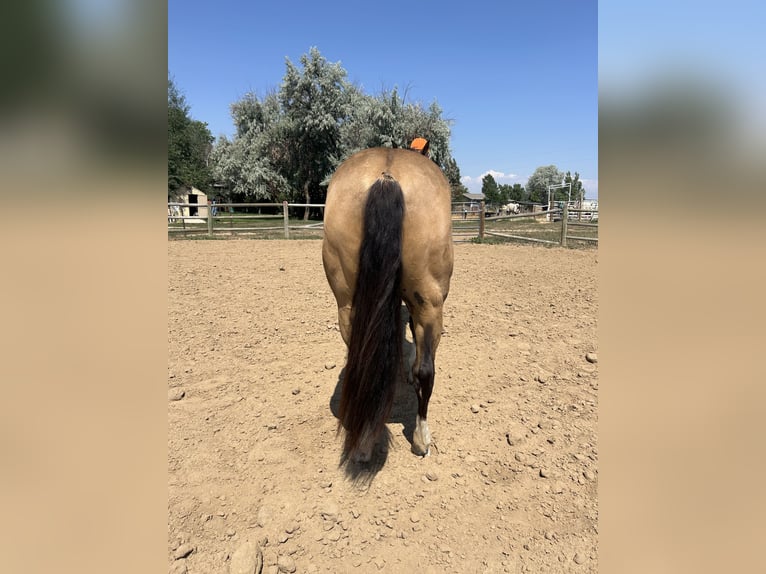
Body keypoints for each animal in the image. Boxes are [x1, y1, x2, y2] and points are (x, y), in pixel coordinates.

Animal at [324, 147, 456, 464]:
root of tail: (386, 176)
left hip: (348, 306)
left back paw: (362, 444)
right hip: (430, 305)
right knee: (426, 372)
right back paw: (421, 439)